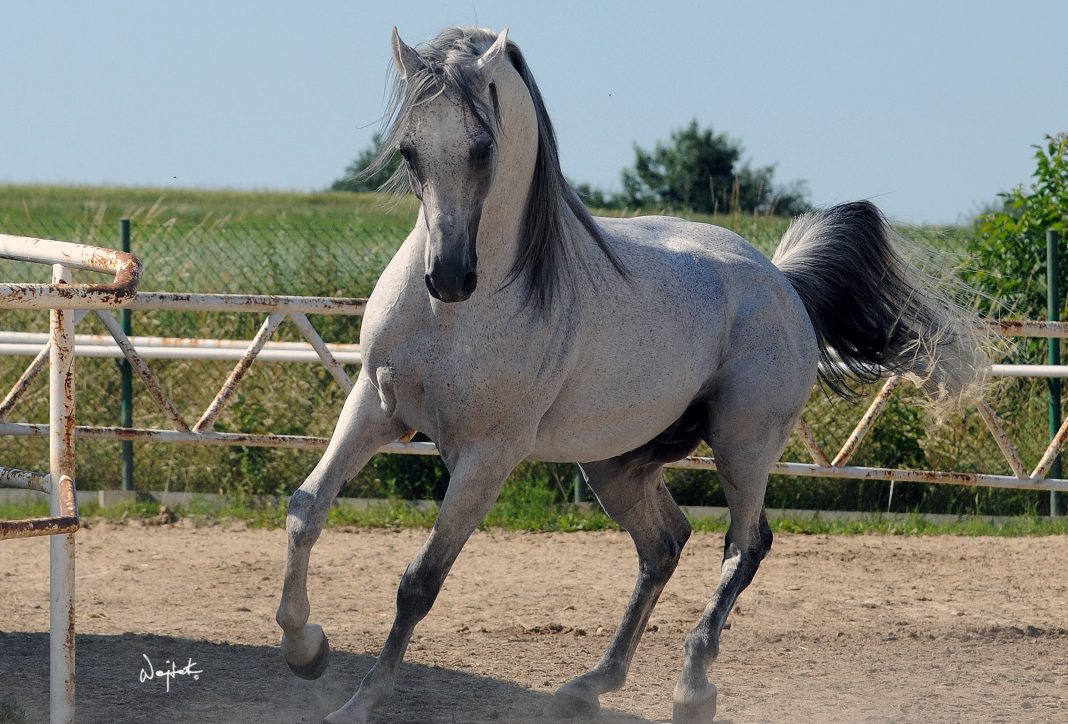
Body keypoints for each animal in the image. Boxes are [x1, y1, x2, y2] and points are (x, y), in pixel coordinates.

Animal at [275, 25, 982, 721]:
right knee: (665, 544)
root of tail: (782, 280)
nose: (448, 277)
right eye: (409, 151)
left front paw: (361, 702)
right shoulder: (376, 407)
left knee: (745, 544)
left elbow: (420, 582)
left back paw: (693, 688)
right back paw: (589, 685)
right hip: (616, 463)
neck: (455, 319)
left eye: (483, 148)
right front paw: (306, 650)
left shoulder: (486, 456)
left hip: (743, 445)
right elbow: (306, 509)